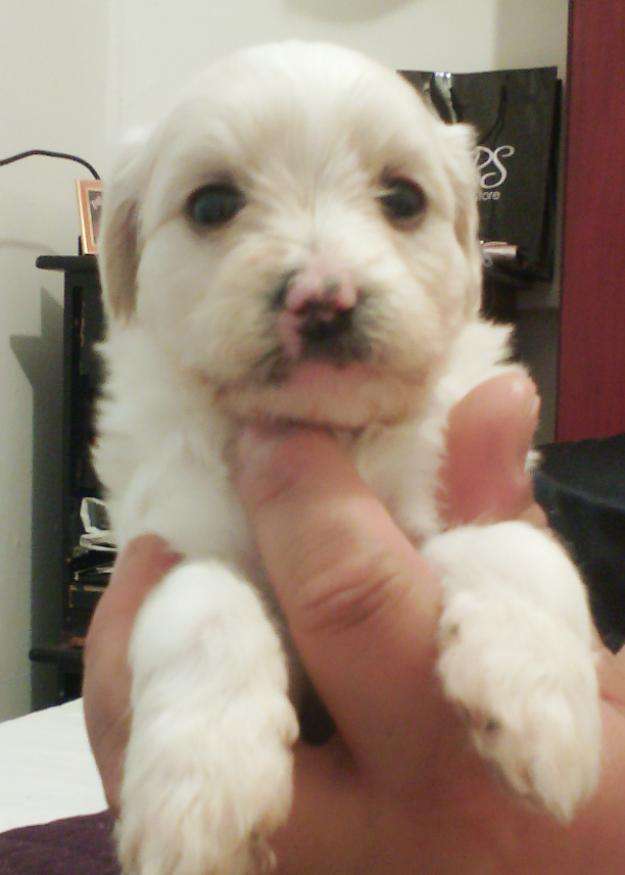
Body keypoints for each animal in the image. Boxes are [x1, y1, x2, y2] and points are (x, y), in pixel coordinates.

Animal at [96, 41, 600, 875]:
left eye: (402, 199)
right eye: (211, 205)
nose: (322, 297)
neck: (336, 435)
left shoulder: (456, 492)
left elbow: (518, 546)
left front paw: (543, 705)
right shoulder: (166, 536)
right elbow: (202, 600)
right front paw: (201, 790)